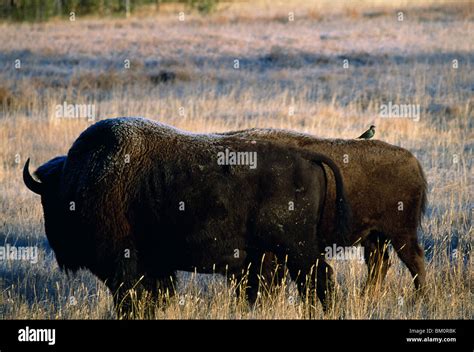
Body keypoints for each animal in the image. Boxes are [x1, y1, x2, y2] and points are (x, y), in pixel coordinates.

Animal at [25, 117, 352, 314]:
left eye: (47, 201)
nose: (59, 247)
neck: (77, 180)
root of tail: (307, 156)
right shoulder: (155, 266)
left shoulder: (124, 265)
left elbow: (132, 297)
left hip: (297, 250)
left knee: (319, 279)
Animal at [220, 128, 428, 296]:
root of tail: (413, 162)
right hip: (374, 236)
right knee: (379, 263)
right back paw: (366, 296)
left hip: (400, 233)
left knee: (414, 260)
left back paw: (419, 298)